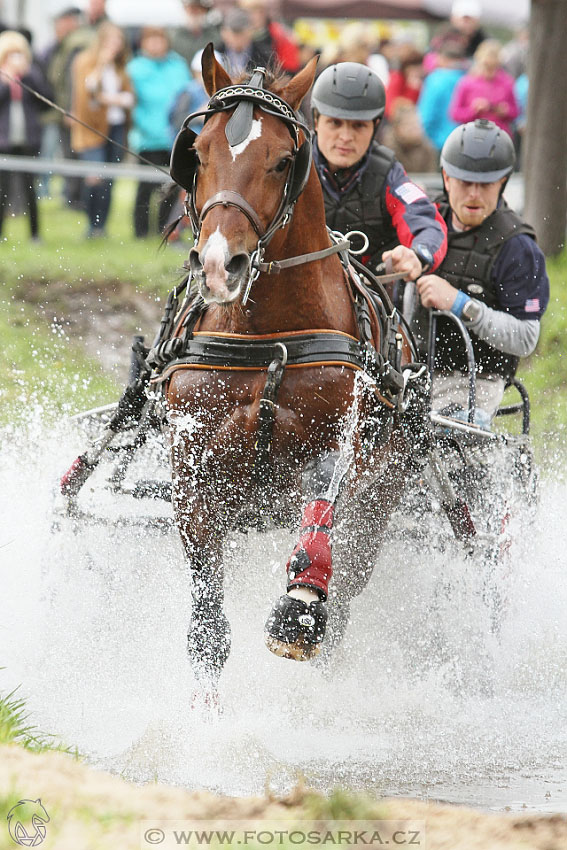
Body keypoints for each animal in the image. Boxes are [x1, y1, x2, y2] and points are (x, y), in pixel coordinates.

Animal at [159, 46, 418, 692]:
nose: (220, 265)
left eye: (281, 162)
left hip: (381, 500)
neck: (267, 339)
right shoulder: (194, 466)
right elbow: (209, 630)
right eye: (198, 154)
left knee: (348, 594)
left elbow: (322, 503)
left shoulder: (345, 444)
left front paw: (298, 609)